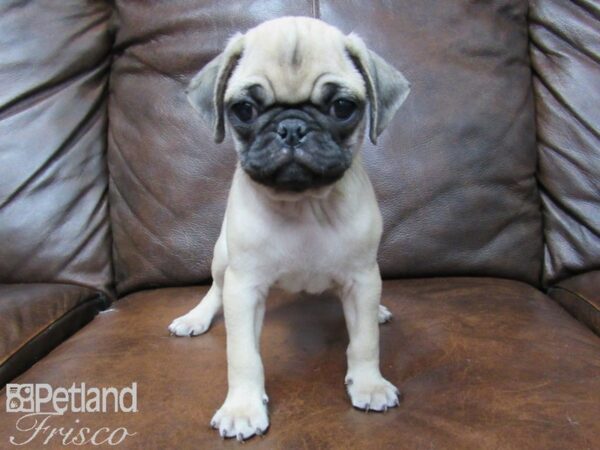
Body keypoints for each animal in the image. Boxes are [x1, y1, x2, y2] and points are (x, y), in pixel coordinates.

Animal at [171, 16, 410, 440]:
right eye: (244, 110)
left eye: (342, 107)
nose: (293, 127)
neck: (304, 205)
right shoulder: (244, 287)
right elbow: (243, 355)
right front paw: (243, 406)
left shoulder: (362, 278)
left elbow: (365, 342)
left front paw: (368, 384)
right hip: (221, 259)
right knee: (214, 290)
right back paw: (195, 317)